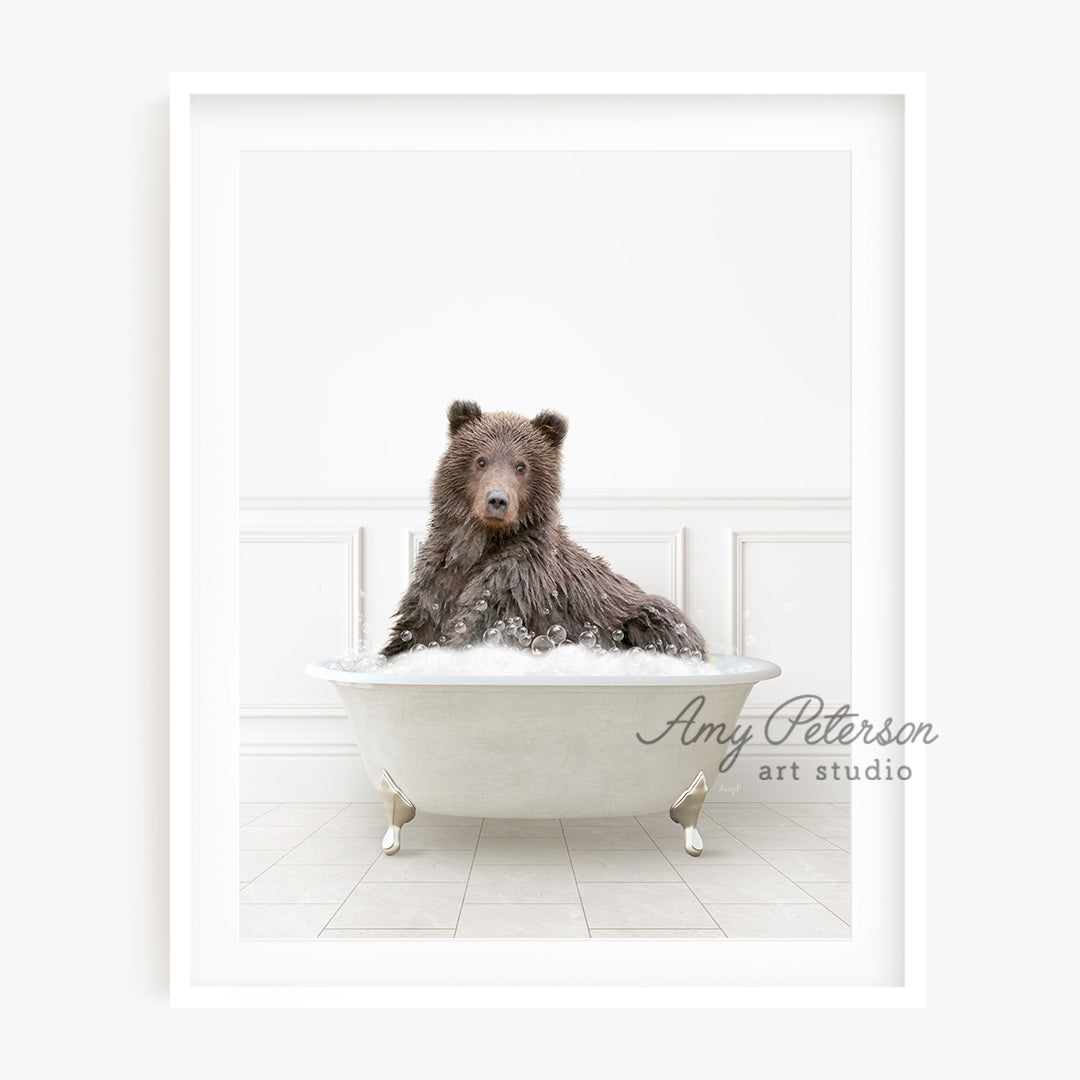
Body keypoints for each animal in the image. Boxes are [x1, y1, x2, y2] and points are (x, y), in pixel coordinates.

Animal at [380, 401, 708, 656]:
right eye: (481, 460)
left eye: (521, 466)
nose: (497, 500)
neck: (481, 544)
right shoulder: (438, 578)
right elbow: (413, 631)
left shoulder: (517, 584)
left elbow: (478, 626)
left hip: (645, 615)